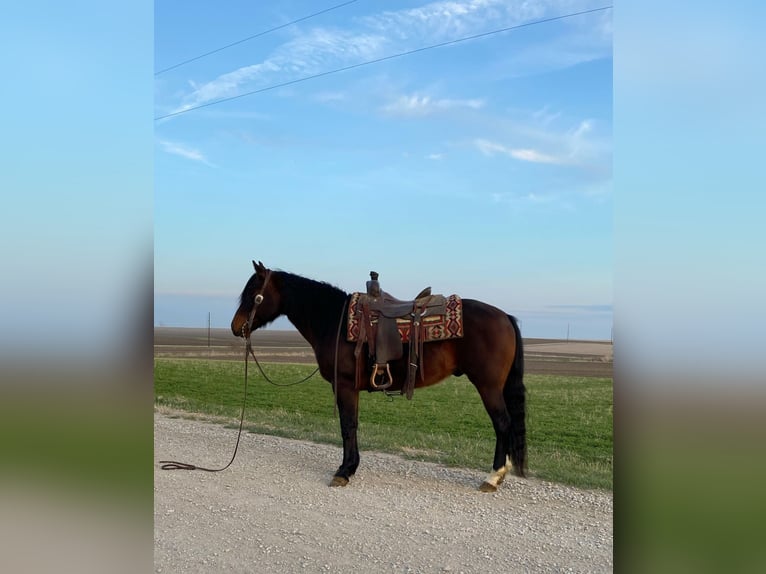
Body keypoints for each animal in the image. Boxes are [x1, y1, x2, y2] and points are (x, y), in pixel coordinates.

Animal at [230, 264, 528, 492]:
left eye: (254, 294)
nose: (235, 327)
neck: (333, 320)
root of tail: (505, 316)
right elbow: (352, 425)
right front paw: (350, 467)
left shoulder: (345, 386)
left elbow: (347, 425)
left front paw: (344, 471)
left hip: (488, 386)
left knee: (502, 423)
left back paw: (493, 476)